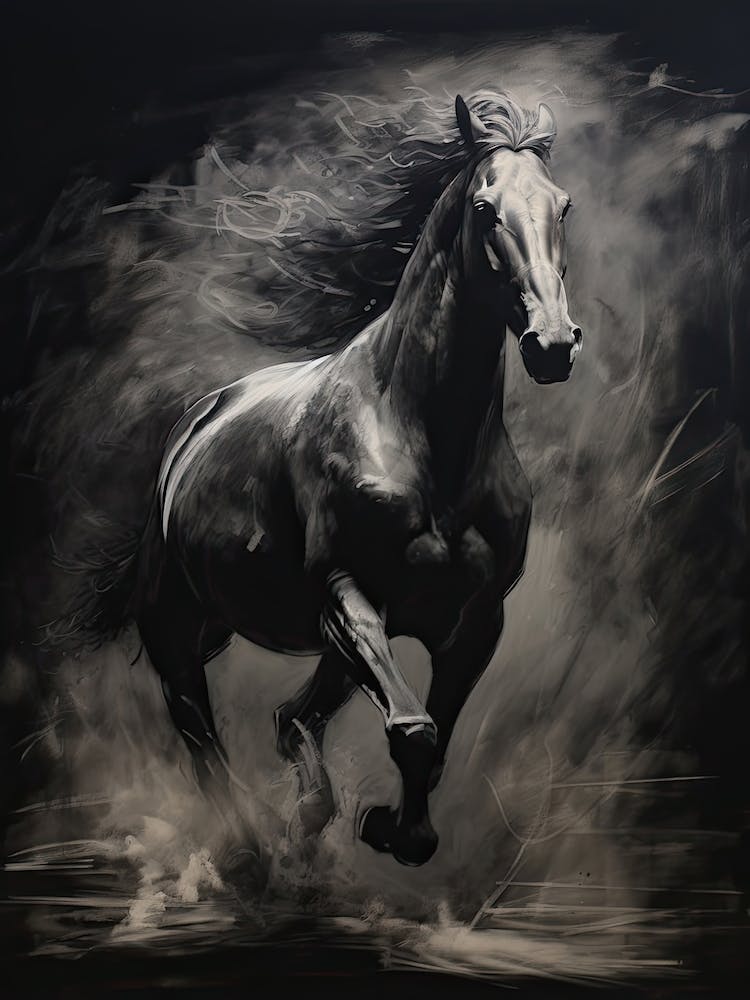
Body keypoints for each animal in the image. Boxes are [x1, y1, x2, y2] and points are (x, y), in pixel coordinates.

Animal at [137, 93, 582, 866]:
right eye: (485, 207)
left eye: (562, 207)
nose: (552, 344)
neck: (421, 439)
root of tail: (196, 421)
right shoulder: (346, 596)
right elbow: (414, 730)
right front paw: (381, 827)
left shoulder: (476, 620)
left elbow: (434, 740)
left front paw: (399, 832)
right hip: (182, 628)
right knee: (199, 729)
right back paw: (251, 848)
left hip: (326, 656)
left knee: (289, 719)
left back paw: (305, 823)